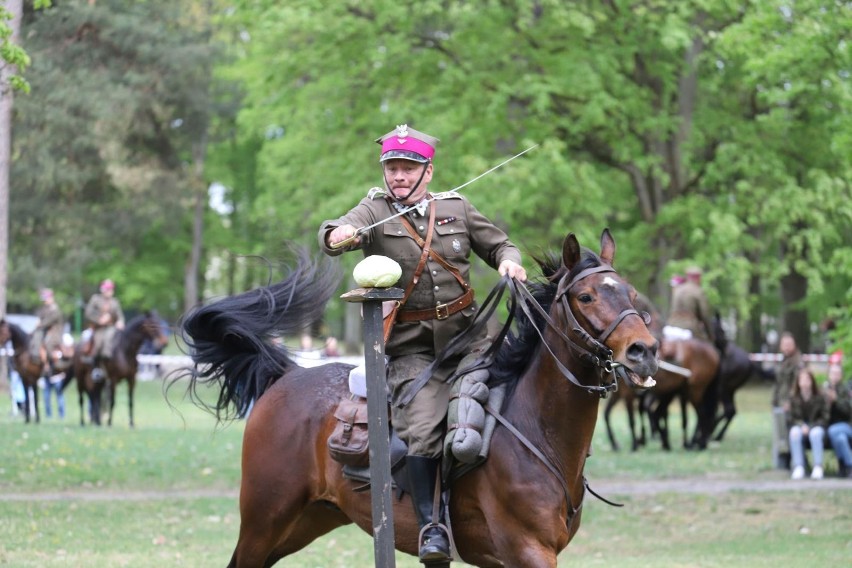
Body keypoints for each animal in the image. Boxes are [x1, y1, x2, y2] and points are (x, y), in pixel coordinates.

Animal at [176, 231, 664, 568]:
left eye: (631, 293)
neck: (534, 430)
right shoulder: (528, 551)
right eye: (586, 295)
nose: (644, 350)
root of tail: (288, 375)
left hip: (306, 522)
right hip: (265, 520)